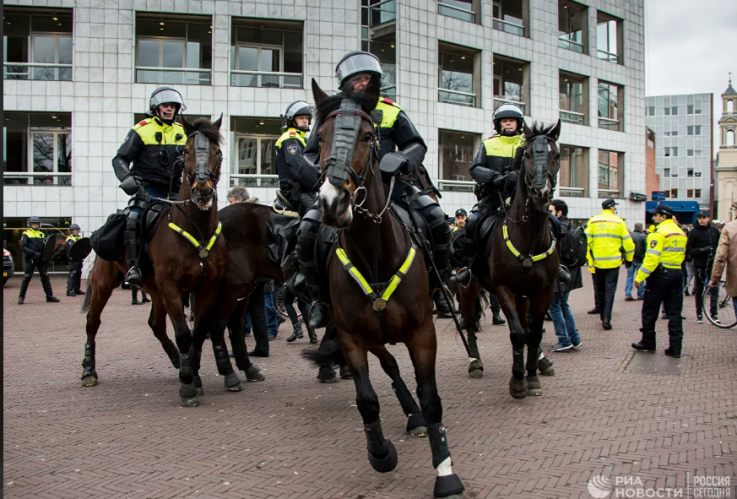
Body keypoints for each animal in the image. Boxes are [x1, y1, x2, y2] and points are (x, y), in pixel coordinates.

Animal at [80, 119, 227, 408]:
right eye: (186, 151)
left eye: (217, 151)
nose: (203, 190)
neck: (197, 231)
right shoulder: (171, 287)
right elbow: (183, 333)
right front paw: (188, 387)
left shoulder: (207, 287)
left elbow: (197, 332)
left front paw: (192, 374)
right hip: (103, 284)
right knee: (93, 322)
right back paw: (89, 370)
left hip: (155, 291)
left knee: (156, 325)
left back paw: (177, 362)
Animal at [306, 79, 466, 499]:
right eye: (321, 137)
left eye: (367, 135)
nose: (333, 202)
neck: (374, 256)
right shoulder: (352, 337)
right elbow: (367, 400)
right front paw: (380, 454)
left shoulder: (423, 333)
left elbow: (432, 399)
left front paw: (445, 472)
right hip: (371, 335)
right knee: (391, 366)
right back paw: (410, 416)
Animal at [458, 121, 560, 398]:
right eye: (528, 155)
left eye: (557, 155)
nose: (541, 192)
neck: (529, 237)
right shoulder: (505, 289)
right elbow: (517, 334)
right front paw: (517, 380)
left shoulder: (543, 291)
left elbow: (533, 333)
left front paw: (532, 375)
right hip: (468, 288)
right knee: (469, 322)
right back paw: (474, 362)